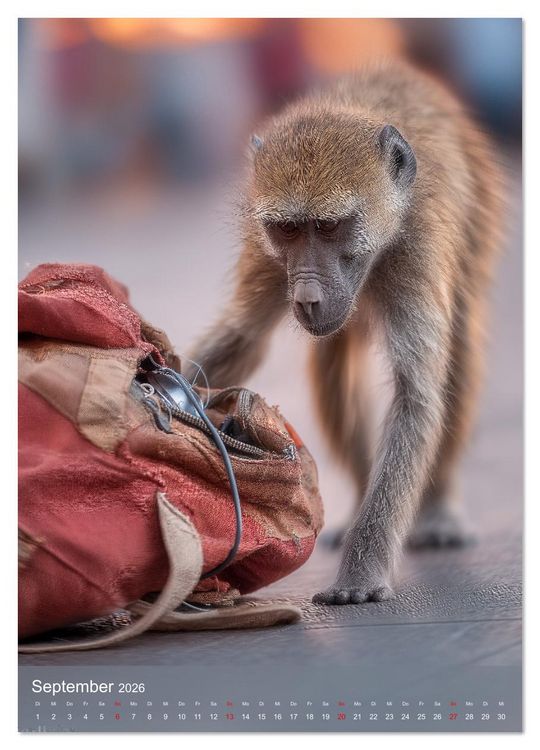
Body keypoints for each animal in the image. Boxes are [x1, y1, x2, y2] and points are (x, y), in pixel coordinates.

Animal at [188, 60, 505, 605]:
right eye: (289, 230)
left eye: (330, 226)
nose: (307, 297)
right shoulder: (267, 255)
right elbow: (242, 340)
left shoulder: (417, 245)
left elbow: (416, 395)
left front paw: (362, 572)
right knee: (333, 363)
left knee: (458, 353)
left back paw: (439, 509)